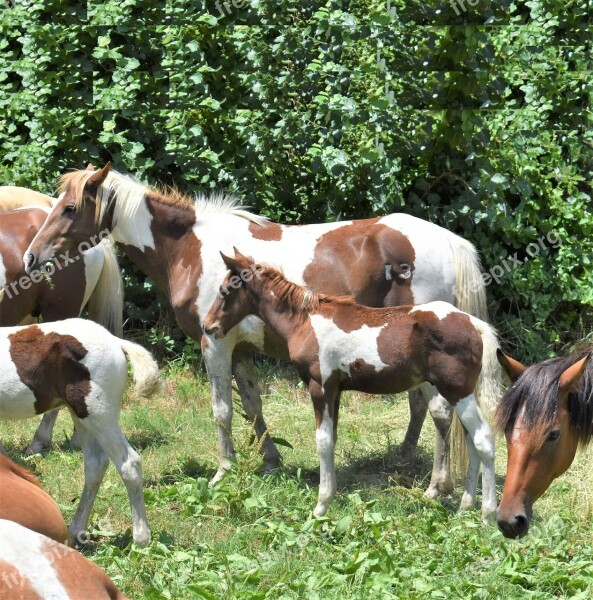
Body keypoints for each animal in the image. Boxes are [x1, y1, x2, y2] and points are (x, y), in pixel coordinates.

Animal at [0, 318, 160, 548]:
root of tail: (116, 342)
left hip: (99, 414)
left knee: (129, 463)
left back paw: (141, 538)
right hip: (81, 416)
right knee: (95, 465)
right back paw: (76, 532)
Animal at [201, 250, 498, 520]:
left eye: (224, 290)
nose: (207, 326)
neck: (305, 322)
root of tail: (474, 324)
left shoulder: (319, 387)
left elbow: (322, 441)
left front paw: (320, 506)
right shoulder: (335, 391)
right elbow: (331, 439)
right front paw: (329, 498)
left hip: (458, 392)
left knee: (483, 437)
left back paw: (487, 514)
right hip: (461, 394)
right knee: (471, 440)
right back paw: (465, 507)